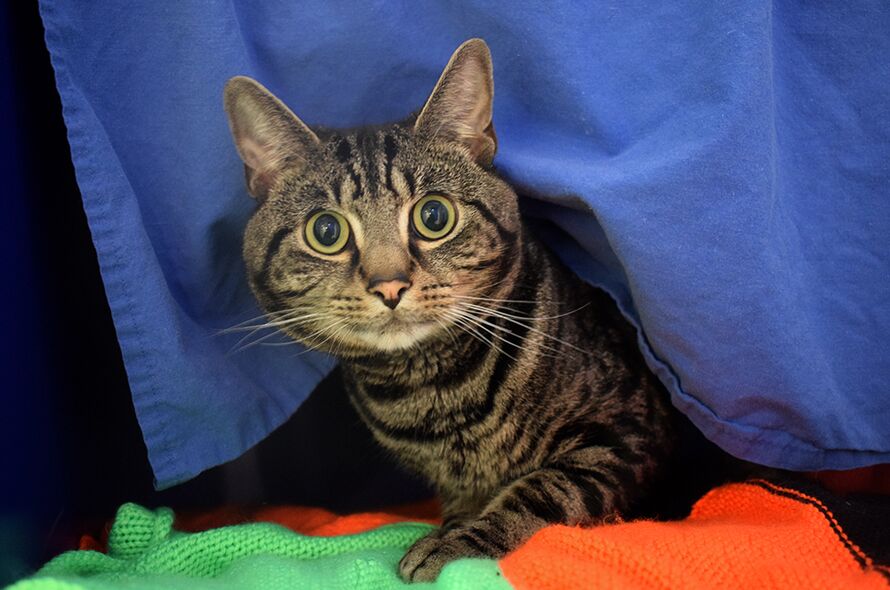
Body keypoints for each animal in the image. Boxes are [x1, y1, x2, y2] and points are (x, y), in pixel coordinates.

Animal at [224, 39, 672, 584]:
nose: (389, 285)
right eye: (326, 231)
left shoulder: (627, 433)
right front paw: (454, 527)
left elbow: (542, 490)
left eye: (434, 216)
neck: (431, 391)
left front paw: (459, 543)